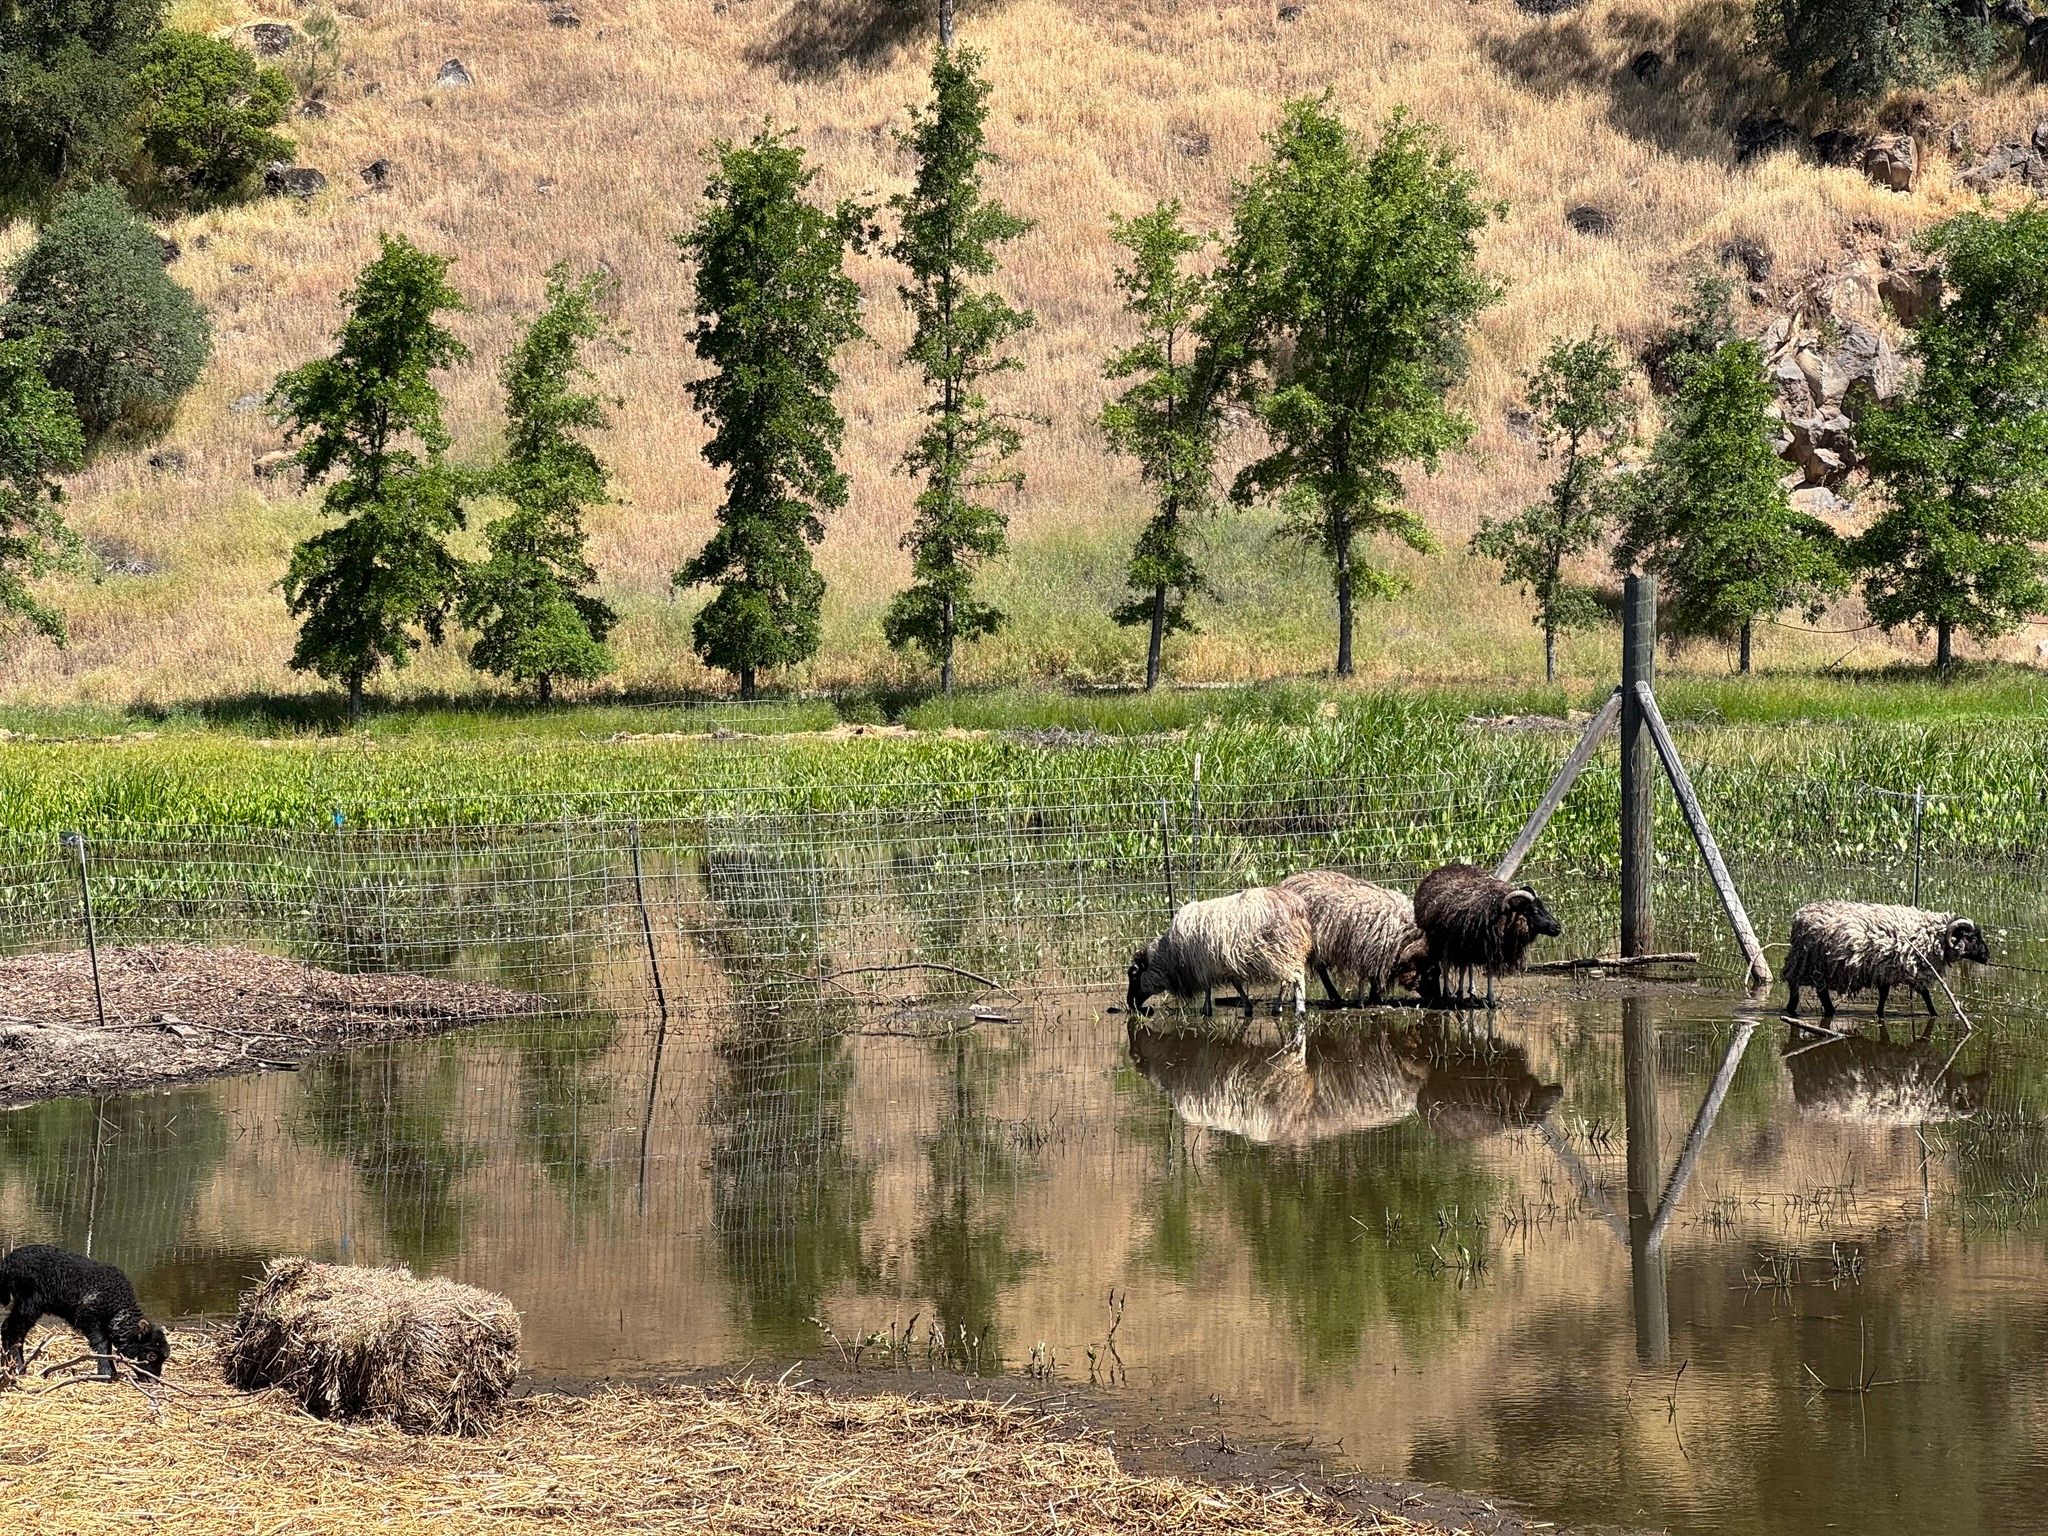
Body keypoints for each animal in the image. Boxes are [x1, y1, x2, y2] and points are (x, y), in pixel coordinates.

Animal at [1126, 887, 1313, 1037]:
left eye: (1134, 976)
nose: (1130, 1004)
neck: (1169, 956)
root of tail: (1297, 906)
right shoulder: (1224, 965)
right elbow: (1236, 985)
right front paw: (1247, 1006)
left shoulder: (1203, 967)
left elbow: (1208, 989)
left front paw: (1206, 1010)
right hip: (1287, 954)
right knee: (1287, 980)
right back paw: (1278, 1008)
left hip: (1283, 951)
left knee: (1297, 978)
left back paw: (1300, 1010)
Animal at [1277, 870, 1433, 1007]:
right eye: (1429, 974)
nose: (1435, 1001)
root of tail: (1286, 882)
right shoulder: (1376, 953)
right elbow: (1375, 978)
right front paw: (1374, 999)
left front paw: (1374, 998)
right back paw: (1331, 996)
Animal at [1412, 862, 1563, 1008]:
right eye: (1535, 911)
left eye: (1544, 908)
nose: (1558, 927)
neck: (1505, 914)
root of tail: (1443, 868)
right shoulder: (1469, 944)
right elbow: (1459, 968)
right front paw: (1456, 996)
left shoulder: (1490, 947)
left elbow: (1488, 971)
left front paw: (1490, 999)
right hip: (1444, 941)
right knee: (1447, 964)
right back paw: (1448, 994)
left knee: (1466, 966)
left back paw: (1471, 991)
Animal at [1781, 901, 1990, 1022]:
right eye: (1972, 938)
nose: (1987, 956)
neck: (1932, 936)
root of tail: (1800, 916)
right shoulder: (1911, 969)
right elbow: (1925, 994)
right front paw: (1934, 1014)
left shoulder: (1884, 970)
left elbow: (1884, 994)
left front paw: (1880, 1013)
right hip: (1808, 962)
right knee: (1798, 985)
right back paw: (1796, 1008)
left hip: (1813, 965)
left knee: (1818, 990)